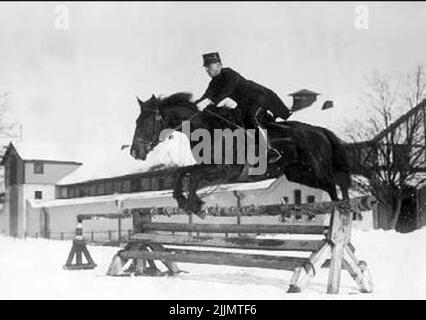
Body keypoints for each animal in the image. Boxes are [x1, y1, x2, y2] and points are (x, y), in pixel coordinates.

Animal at [131, 91, 352, 214]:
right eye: (136, 121)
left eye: (146, 122)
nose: (134, 152)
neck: (209, 129)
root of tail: (318, 130)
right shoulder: (210, 167)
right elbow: (182, 172)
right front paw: (183, 200)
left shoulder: (224, 171)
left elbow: (192, 177)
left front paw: (194, 204)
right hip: (299, 174)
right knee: (330, 186)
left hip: (314, 168)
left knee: (336, 183)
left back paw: (344, 210)